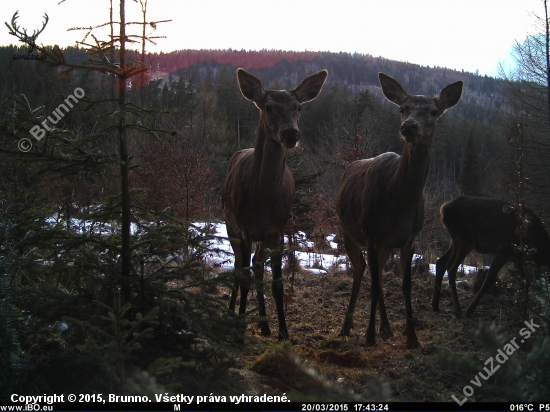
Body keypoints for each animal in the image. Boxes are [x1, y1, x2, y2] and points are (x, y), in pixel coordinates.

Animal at [223, 67, 328, 342]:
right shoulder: (244, 229)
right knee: (239, 267)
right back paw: (231, 313)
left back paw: (264, 326)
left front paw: (283, 332)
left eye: (299, 107)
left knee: (257, 267)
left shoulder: (278, 231)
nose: (291, 133)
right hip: (230, 225)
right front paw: (239, 332)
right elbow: (244, 277)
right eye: (268, 107)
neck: (263, 198)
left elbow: (278, 284)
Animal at [338, 73, 464, 348]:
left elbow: (406, 285)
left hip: (385, 245)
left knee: (374, 273)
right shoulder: (372, 235)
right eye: (402, 108)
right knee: (361, 270)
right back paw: (347, 327)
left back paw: (386, 327)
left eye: (434, 111)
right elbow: (374, 286)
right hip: (348, 231)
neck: (398, 203)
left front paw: (412, 337)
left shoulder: (409, 239)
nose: (409, 126)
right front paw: (369, 337)